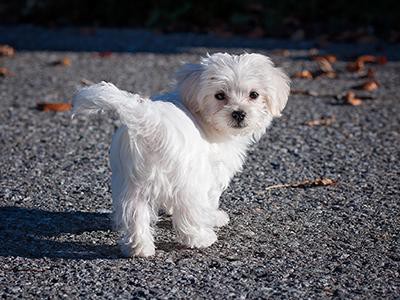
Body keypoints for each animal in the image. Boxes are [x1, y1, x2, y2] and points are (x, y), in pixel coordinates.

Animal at [72, 52, 290, 256]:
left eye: (254, 94)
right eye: (219, 96)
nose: (239, 113)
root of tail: (152, 124)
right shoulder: (212, 172)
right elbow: (210, 199)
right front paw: (214, 217)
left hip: (131, 184)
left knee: (135, 214)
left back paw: (139, 248)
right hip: (188, 180)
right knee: (189, 212)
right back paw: (200, 238)